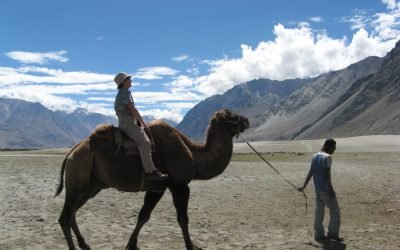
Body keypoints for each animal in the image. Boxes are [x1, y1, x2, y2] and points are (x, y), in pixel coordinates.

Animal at [55, 108, 250, 249]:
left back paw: (84, 244)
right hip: (78, 179)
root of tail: (72, 151)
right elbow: (183, 219)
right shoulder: (179, 185)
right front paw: (190, 246)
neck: (193, 154)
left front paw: (132, 245)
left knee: (73, 212)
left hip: (92, 186)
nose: (246, 120)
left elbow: (143, 216)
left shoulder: (157, 187)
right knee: (65, 216)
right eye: (231, 115)